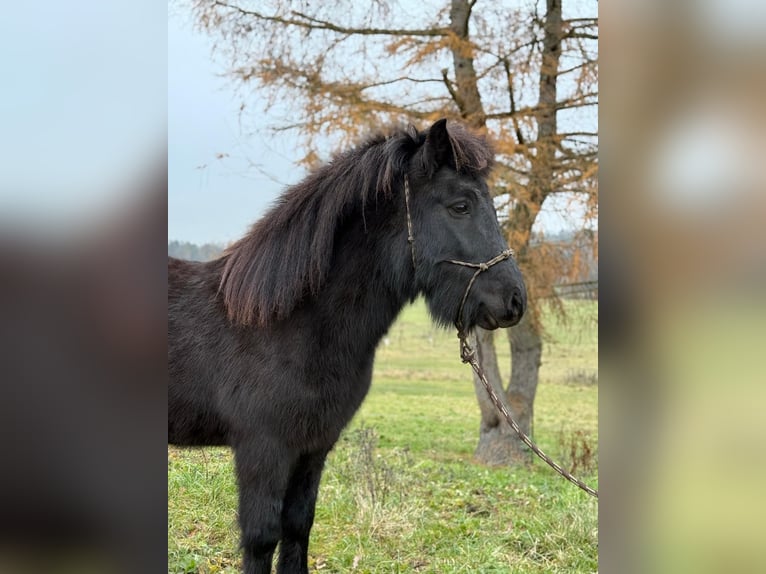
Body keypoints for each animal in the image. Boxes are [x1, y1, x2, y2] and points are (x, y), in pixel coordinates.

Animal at [168, 119, 527, 574]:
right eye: (460, 206)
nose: (514, 301)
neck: (287, 325)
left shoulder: (313, 448)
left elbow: (298, 527)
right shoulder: (263, 450)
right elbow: (262, 538)